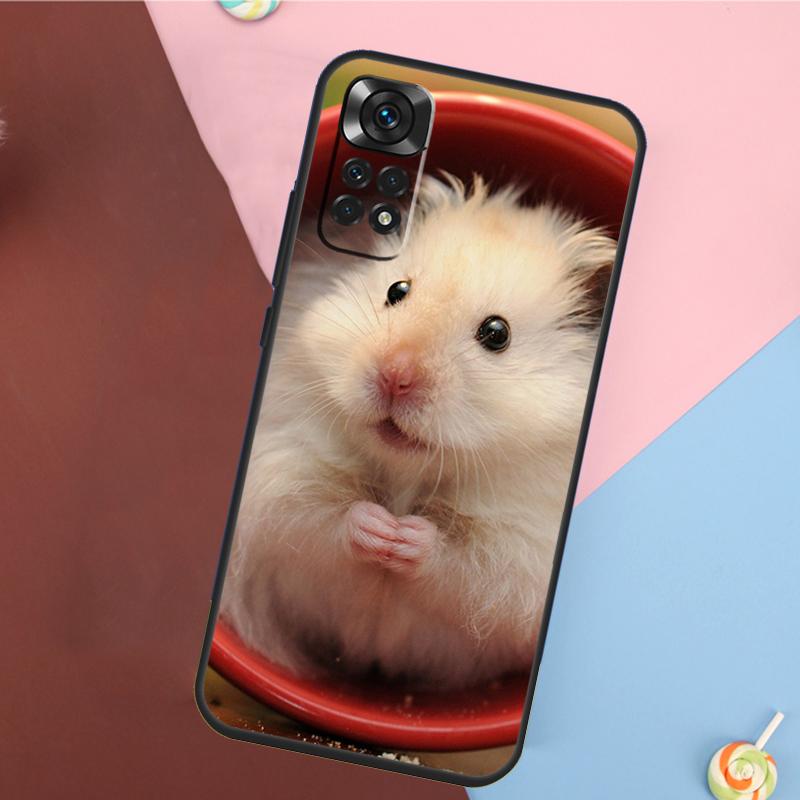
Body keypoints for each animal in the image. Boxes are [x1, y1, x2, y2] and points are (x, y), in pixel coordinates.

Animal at [220, 175, 617, 689]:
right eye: (396, 290)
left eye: (497, 333)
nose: (394, 376)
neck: (407, 474)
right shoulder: (281, 476)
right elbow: (321, 519)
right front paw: (379, 527)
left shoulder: (524, 550)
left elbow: (467, 566)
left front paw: (404, 536)